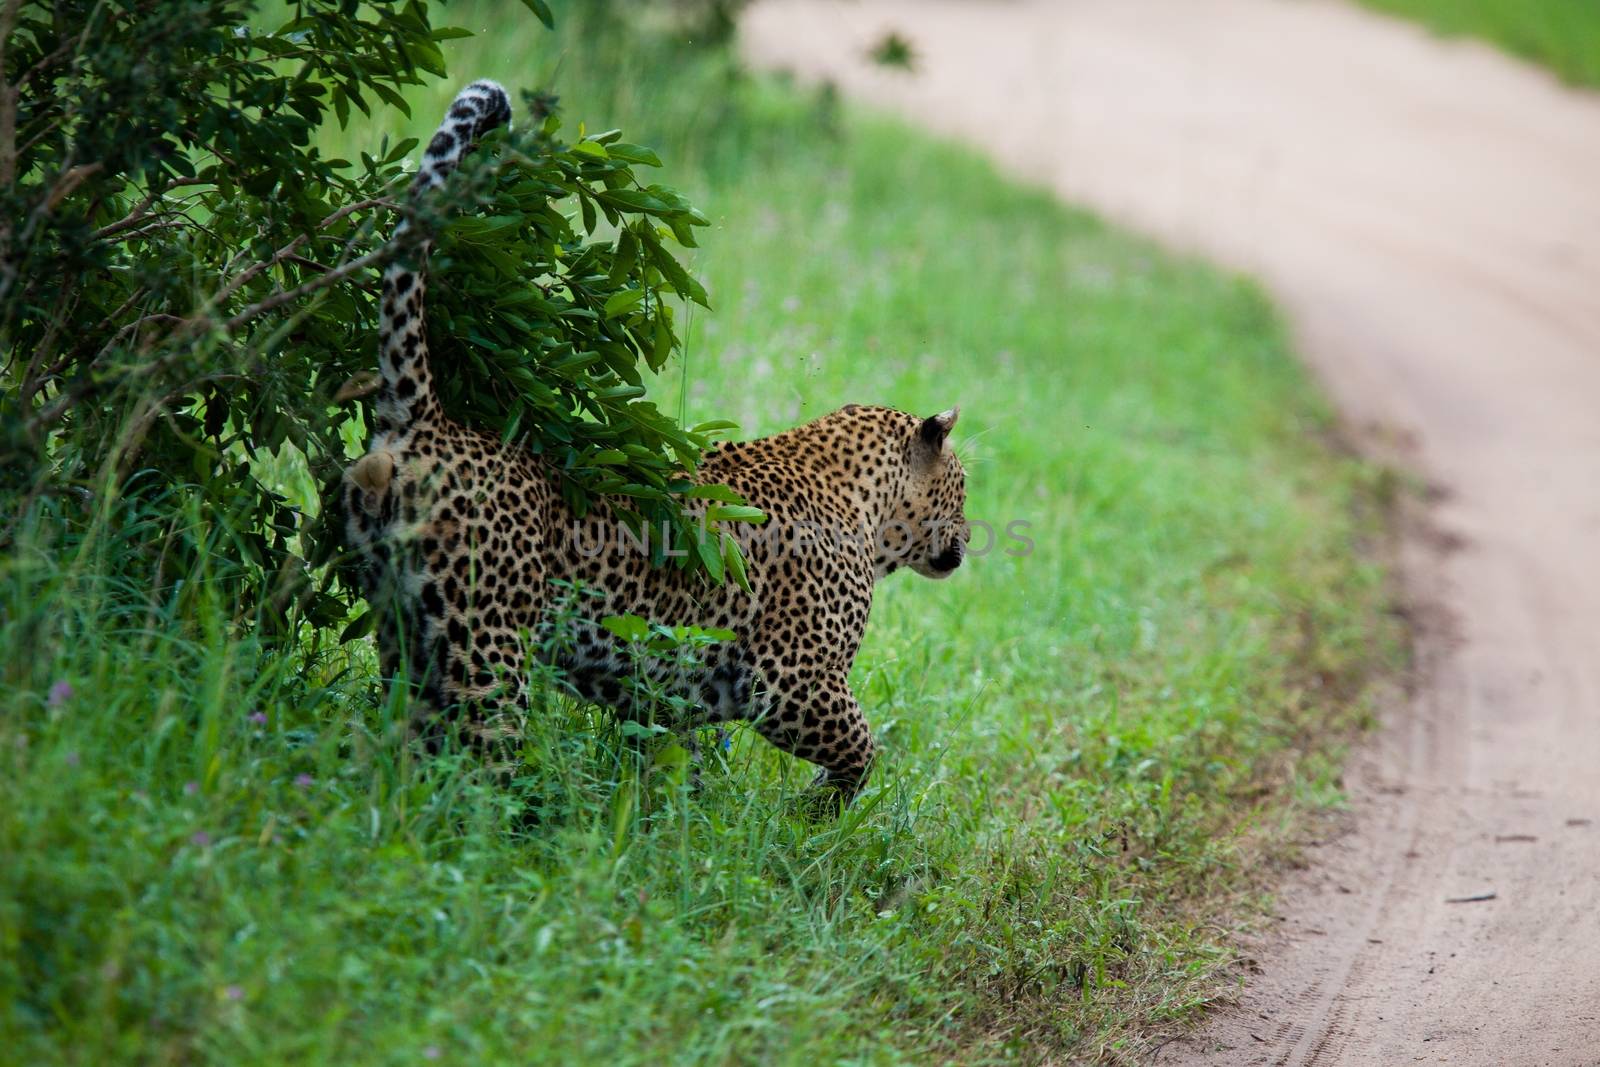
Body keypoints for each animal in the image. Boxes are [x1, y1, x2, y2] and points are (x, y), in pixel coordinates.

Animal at [342, 83, 966, 806]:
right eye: (963, 490)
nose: (966, 537)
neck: (866, 500)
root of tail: (425, 423)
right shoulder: (794, 680)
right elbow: (864, 749)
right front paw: (818, 813)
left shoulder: (676, 696)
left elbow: (676, 765)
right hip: (485, 652)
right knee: (473, 775)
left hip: (402, 634)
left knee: (401, 753)